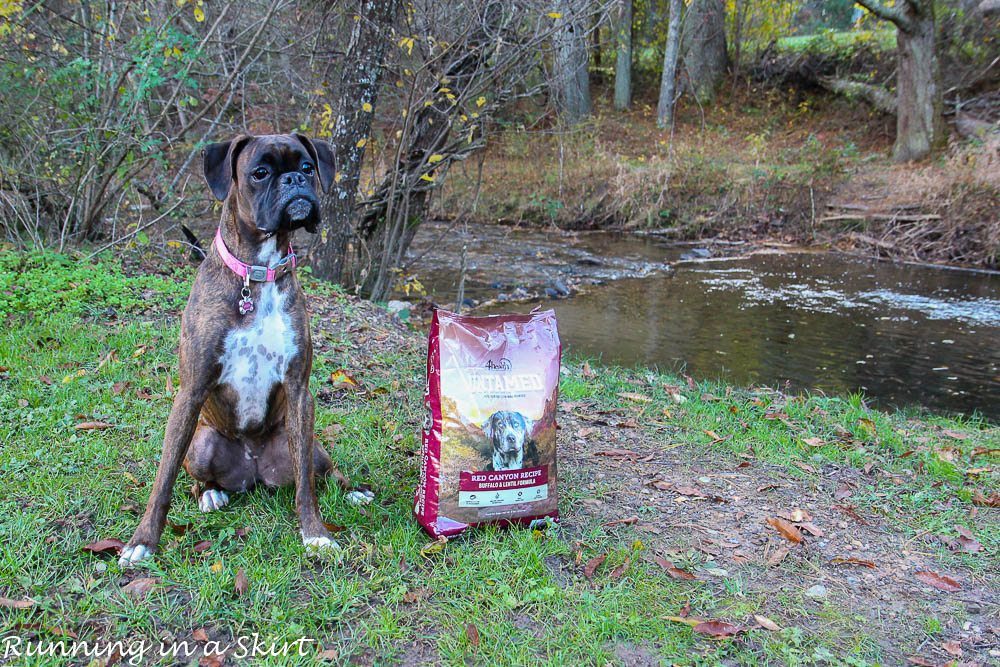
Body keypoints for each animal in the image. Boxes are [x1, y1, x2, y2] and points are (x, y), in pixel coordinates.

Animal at [117, 133, 368, 568]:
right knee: (196, 478)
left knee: (320, 472)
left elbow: (306, 488)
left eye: (307, 167)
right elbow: (163, 479)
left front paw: (316, 534)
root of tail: (252, 471)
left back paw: (352, 490)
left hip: (310, 446)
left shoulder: (299, 391)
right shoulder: (190, 392)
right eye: (260, 172)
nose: (294, 182)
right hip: (201, 444)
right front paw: (143, 541)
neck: (258, 273)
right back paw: (211, 495)